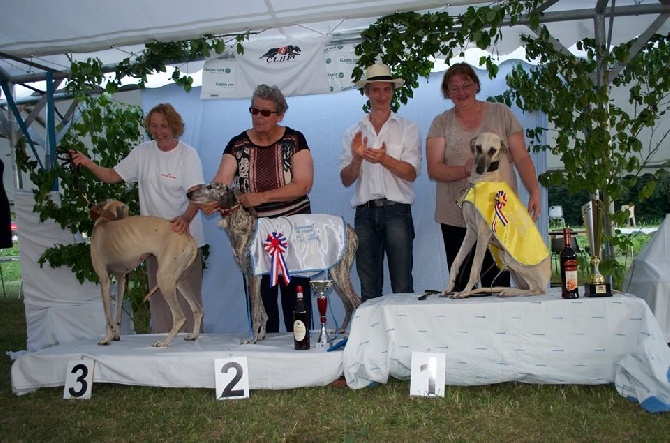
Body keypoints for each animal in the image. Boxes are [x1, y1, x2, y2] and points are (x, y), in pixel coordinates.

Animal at [90, 199, 203, 348]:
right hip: (180, 280)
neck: (104, 221)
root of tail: (188, 237)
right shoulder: (120, 280)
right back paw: (193, 336)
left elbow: (108, 317)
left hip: (164, 279)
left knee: (180, 317)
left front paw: (106, 339)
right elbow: (117, 311)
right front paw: (115, 335)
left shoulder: (104, 281)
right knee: (197, 308)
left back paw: (164, 342)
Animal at [440, 132, 552, 298]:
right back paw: (503, 290)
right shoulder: (471, 232)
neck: (482, 181)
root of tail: (547, 276)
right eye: (478, 147)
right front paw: (449, 288)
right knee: (525, 287)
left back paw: (508, 292)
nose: (480, 168)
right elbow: (456, 261)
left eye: (493, 150)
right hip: (508, 261)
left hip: (511, 258)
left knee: (536, 290)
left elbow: (475, 267)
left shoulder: (482, 234)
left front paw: (465, 292)